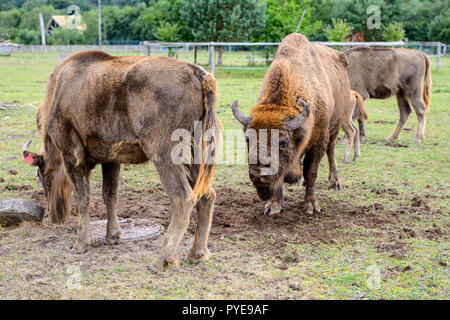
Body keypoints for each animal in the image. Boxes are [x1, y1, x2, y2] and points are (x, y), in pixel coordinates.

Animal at [22, 51, 220, 272]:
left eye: (41, 174)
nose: (52, 214)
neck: (60, 91)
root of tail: (198, 74)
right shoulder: (111, 160)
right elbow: (110, 195)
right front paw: (113, 237)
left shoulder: (72, 157)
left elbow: (83, 199)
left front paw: (80, 244)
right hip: (195, 155)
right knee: (206, 195)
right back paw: (197, 254)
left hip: (165, 156)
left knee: (183, 198)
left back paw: (161, 261)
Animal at [232, 33, 352, 215]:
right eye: (247, 139)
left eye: (283, 142)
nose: (258, 174)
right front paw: (274, 205)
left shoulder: (319, 140)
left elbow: (311, 172)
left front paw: (311, 206)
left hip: (335, 126)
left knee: (331, 150)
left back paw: (335, 182)